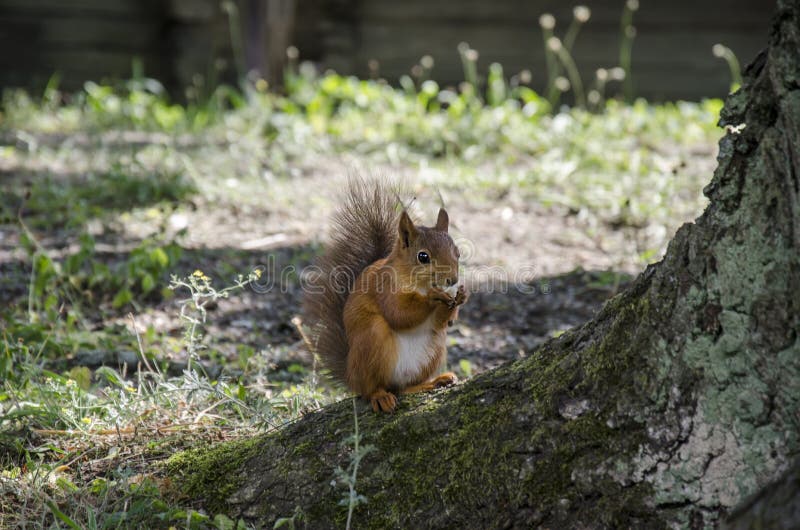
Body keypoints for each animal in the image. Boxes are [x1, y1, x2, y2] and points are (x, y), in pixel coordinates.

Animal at [303, 178, 467, 412]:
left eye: (458, 253)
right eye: (423, 257)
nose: (452, 280)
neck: (419, 285)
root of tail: (351, 375)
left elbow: (443, 322)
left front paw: (460, 297)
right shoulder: (384, 288)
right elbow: (398, 314)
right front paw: (434, 297)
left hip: (434, 349)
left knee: (404, 388)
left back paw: (434, 381)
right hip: (372, 341)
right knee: (371, 388)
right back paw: (380, 397)